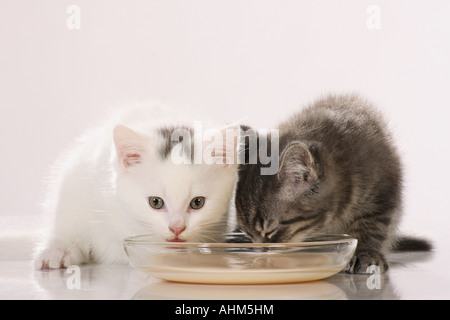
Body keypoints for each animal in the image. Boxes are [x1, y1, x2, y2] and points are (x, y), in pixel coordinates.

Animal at [236, 94, 428, 274]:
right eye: (247, 232)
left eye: (270, 231)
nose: (260, 254)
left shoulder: (383, 191)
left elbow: (373, 225)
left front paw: (366, 252)